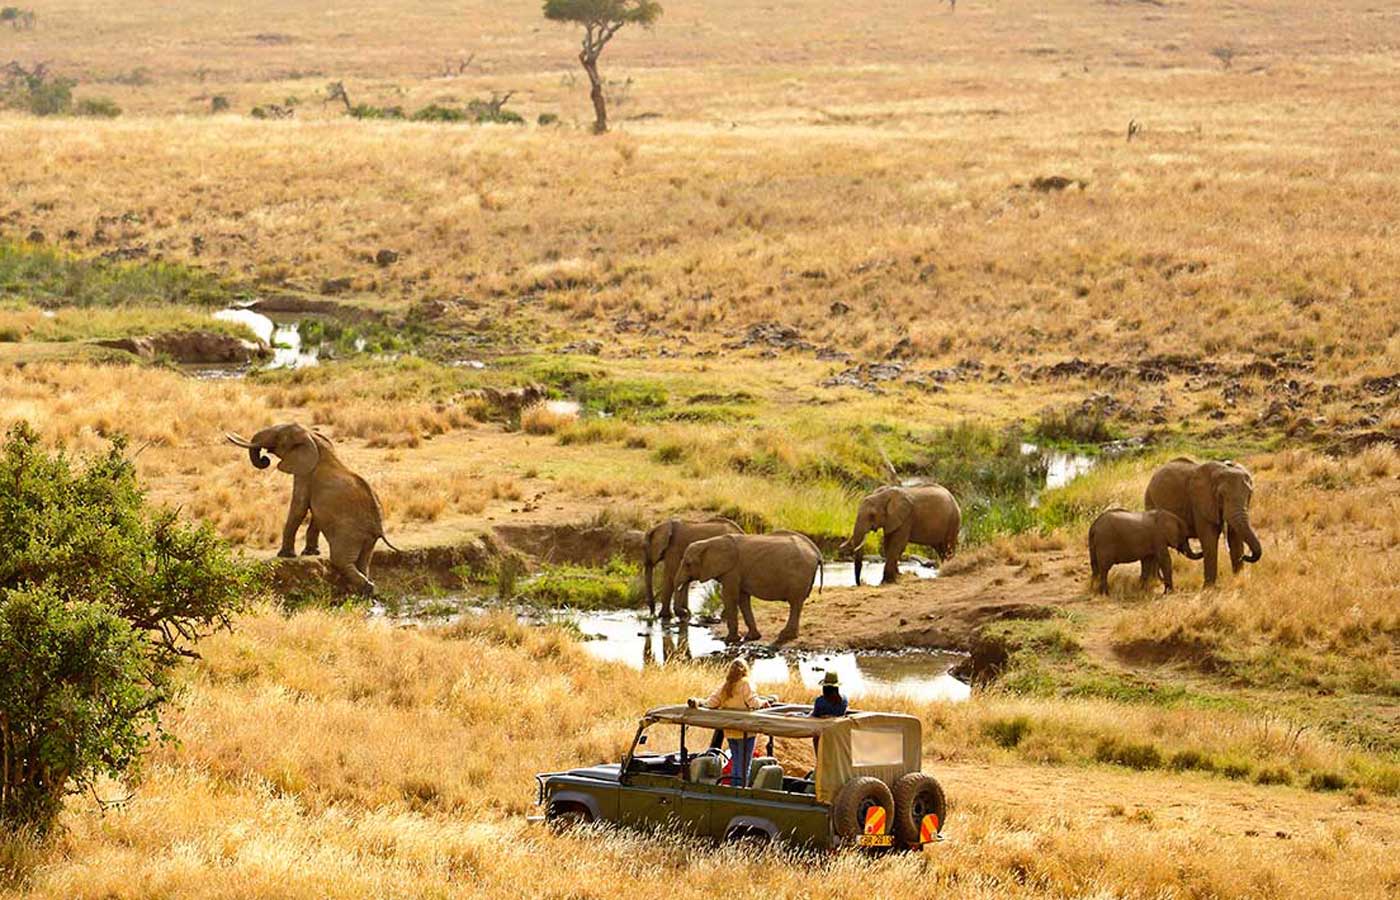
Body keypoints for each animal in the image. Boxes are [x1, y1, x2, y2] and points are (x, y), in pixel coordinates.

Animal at [225, 424, 401, 594]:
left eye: (278, 437)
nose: (264, 459)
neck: (314, 439)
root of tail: (379, 528)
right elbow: (315, 516)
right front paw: (310, 553)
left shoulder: (305, 475)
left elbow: (299, 508)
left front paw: (285, 555)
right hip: (367, 539)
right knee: (363, 562)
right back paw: (368, 589)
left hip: (350, 534)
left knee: (341, 560)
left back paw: (367, 588)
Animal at [675, 532, 823, 644]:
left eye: (688, 564)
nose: (685, 613)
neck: (710, 542)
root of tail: (817, 553)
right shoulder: (737, 572)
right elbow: (743, 599)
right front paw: (752, 637)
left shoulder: (732, 570)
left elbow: (730, 597)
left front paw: (729, 640)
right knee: (797, 604)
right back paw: (790, 636)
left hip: (800, 575)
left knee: (795, 603)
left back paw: (785, 636)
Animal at [1145, 458, 1262, 586]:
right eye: (1220, 495)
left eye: (1250, 494)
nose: (1245, 556)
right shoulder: (1200, 502)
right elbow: (1209, 539)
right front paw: (1209, 588)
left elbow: (1235, 537)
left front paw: (1238, 579)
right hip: (1149, 499)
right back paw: (1153, 582)